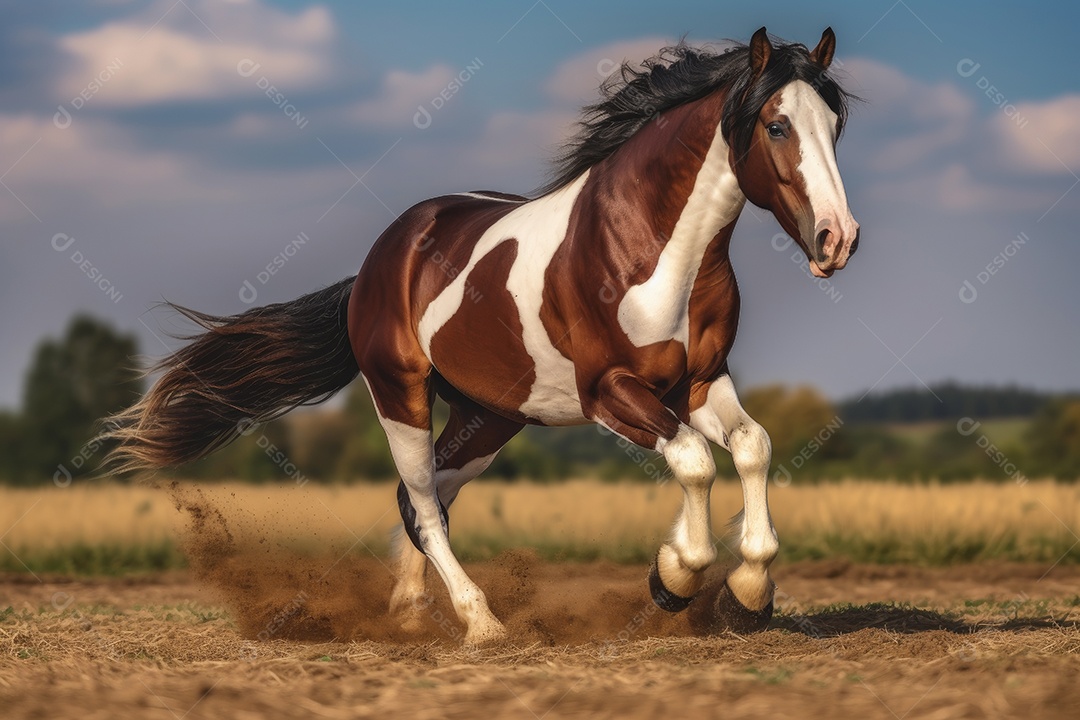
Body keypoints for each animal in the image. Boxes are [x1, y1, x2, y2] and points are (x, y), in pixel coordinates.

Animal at [104, 27, 859, 645]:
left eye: (834, 123)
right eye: (776, 125)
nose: (837, 240)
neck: (651, 251)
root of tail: (381, 259)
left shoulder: (698, 381)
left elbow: (753, 447)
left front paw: (747, 595)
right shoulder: (610, 392)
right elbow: (697, 462)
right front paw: (675, 578)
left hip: (489, 417)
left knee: (422, 499)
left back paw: (411, 614)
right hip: (401, 396)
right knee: (424, 504)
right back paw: (481, 623)